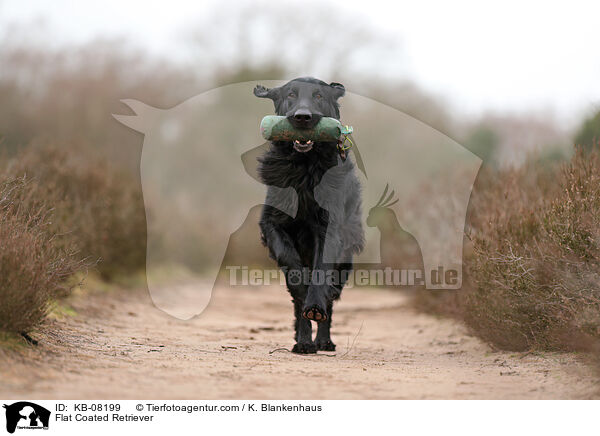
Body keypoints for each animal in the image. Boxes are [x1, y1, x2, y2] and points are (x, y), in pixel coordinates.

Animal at [254, 76, 364, 352]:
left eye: (318, 96)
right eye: (291, 95)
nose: (303, 117)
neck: (304, 167)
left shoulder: (328, 228)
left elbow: (320, 273)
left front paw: (315, 306)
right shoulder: (272, 224)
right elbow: (293, 269)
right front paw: (303, 295)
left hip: (346, 257)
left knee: (332, 297)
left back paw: (323, 340)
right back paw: (303, 341)